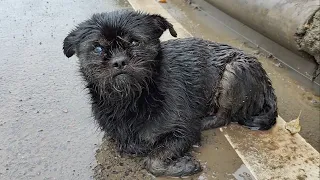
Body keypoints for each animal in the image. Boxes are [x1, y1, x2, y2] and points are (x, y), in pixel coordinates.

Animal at [63, 9, 278, 177]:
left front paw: (183, 166)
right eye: (98, 48)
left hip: (235, 70)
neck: (133, 99)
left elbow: (153, 160)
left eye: (134, 42)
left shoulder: (183, 132)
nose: (119, 61)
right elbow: (131, 145)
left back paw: (204, 121)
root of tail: (266, 81)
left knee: (223, 116)